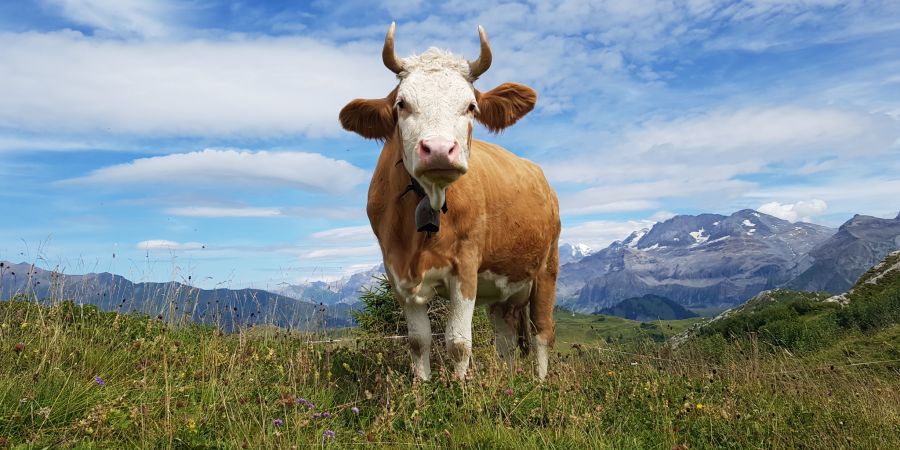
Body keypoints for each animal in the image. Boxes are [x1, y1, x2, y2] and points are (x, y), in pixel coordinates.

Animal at [339, 23, 560, 381]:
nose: (440, 150)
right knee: (506, 339)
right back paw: (510, 381)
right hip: (505, 288)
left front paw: (459, 388)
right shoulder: (396, 271)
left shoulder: (465, 266)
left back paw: (539, 384)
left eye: (471, 106)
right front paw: (421, 387)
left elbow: (458, 342)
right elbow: (418, 341)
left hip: (546, 268)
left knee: (542, 331)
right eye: (401, 103)